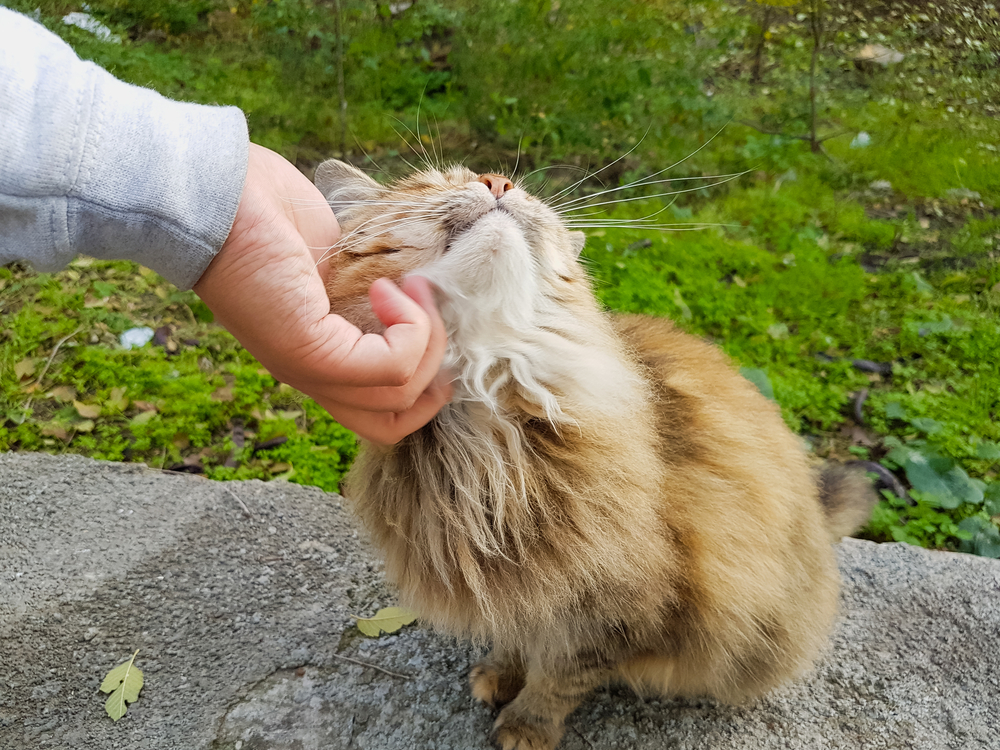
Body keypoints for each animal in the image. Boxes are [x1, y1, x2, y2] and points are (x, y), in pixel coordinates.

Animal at [314, 162, 876, 750]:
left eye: (507, 185)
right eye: (434, 183)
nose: (497, 180)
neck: (487, 408)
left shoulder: (611, 609)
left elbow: (558, 676)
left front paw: (526, 727)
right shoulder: (526, 585)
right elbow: (517, 636)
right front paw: (501, 674)